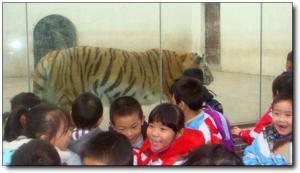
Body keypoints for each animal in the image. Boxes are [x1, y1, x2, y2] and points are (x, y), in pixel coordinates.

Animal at [32, 46, 213, 111]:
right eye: (206, 68)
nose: (212, 79)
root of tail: (52, 55)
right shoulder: (171, 94)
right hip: (69, 96)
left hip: (49, 97)